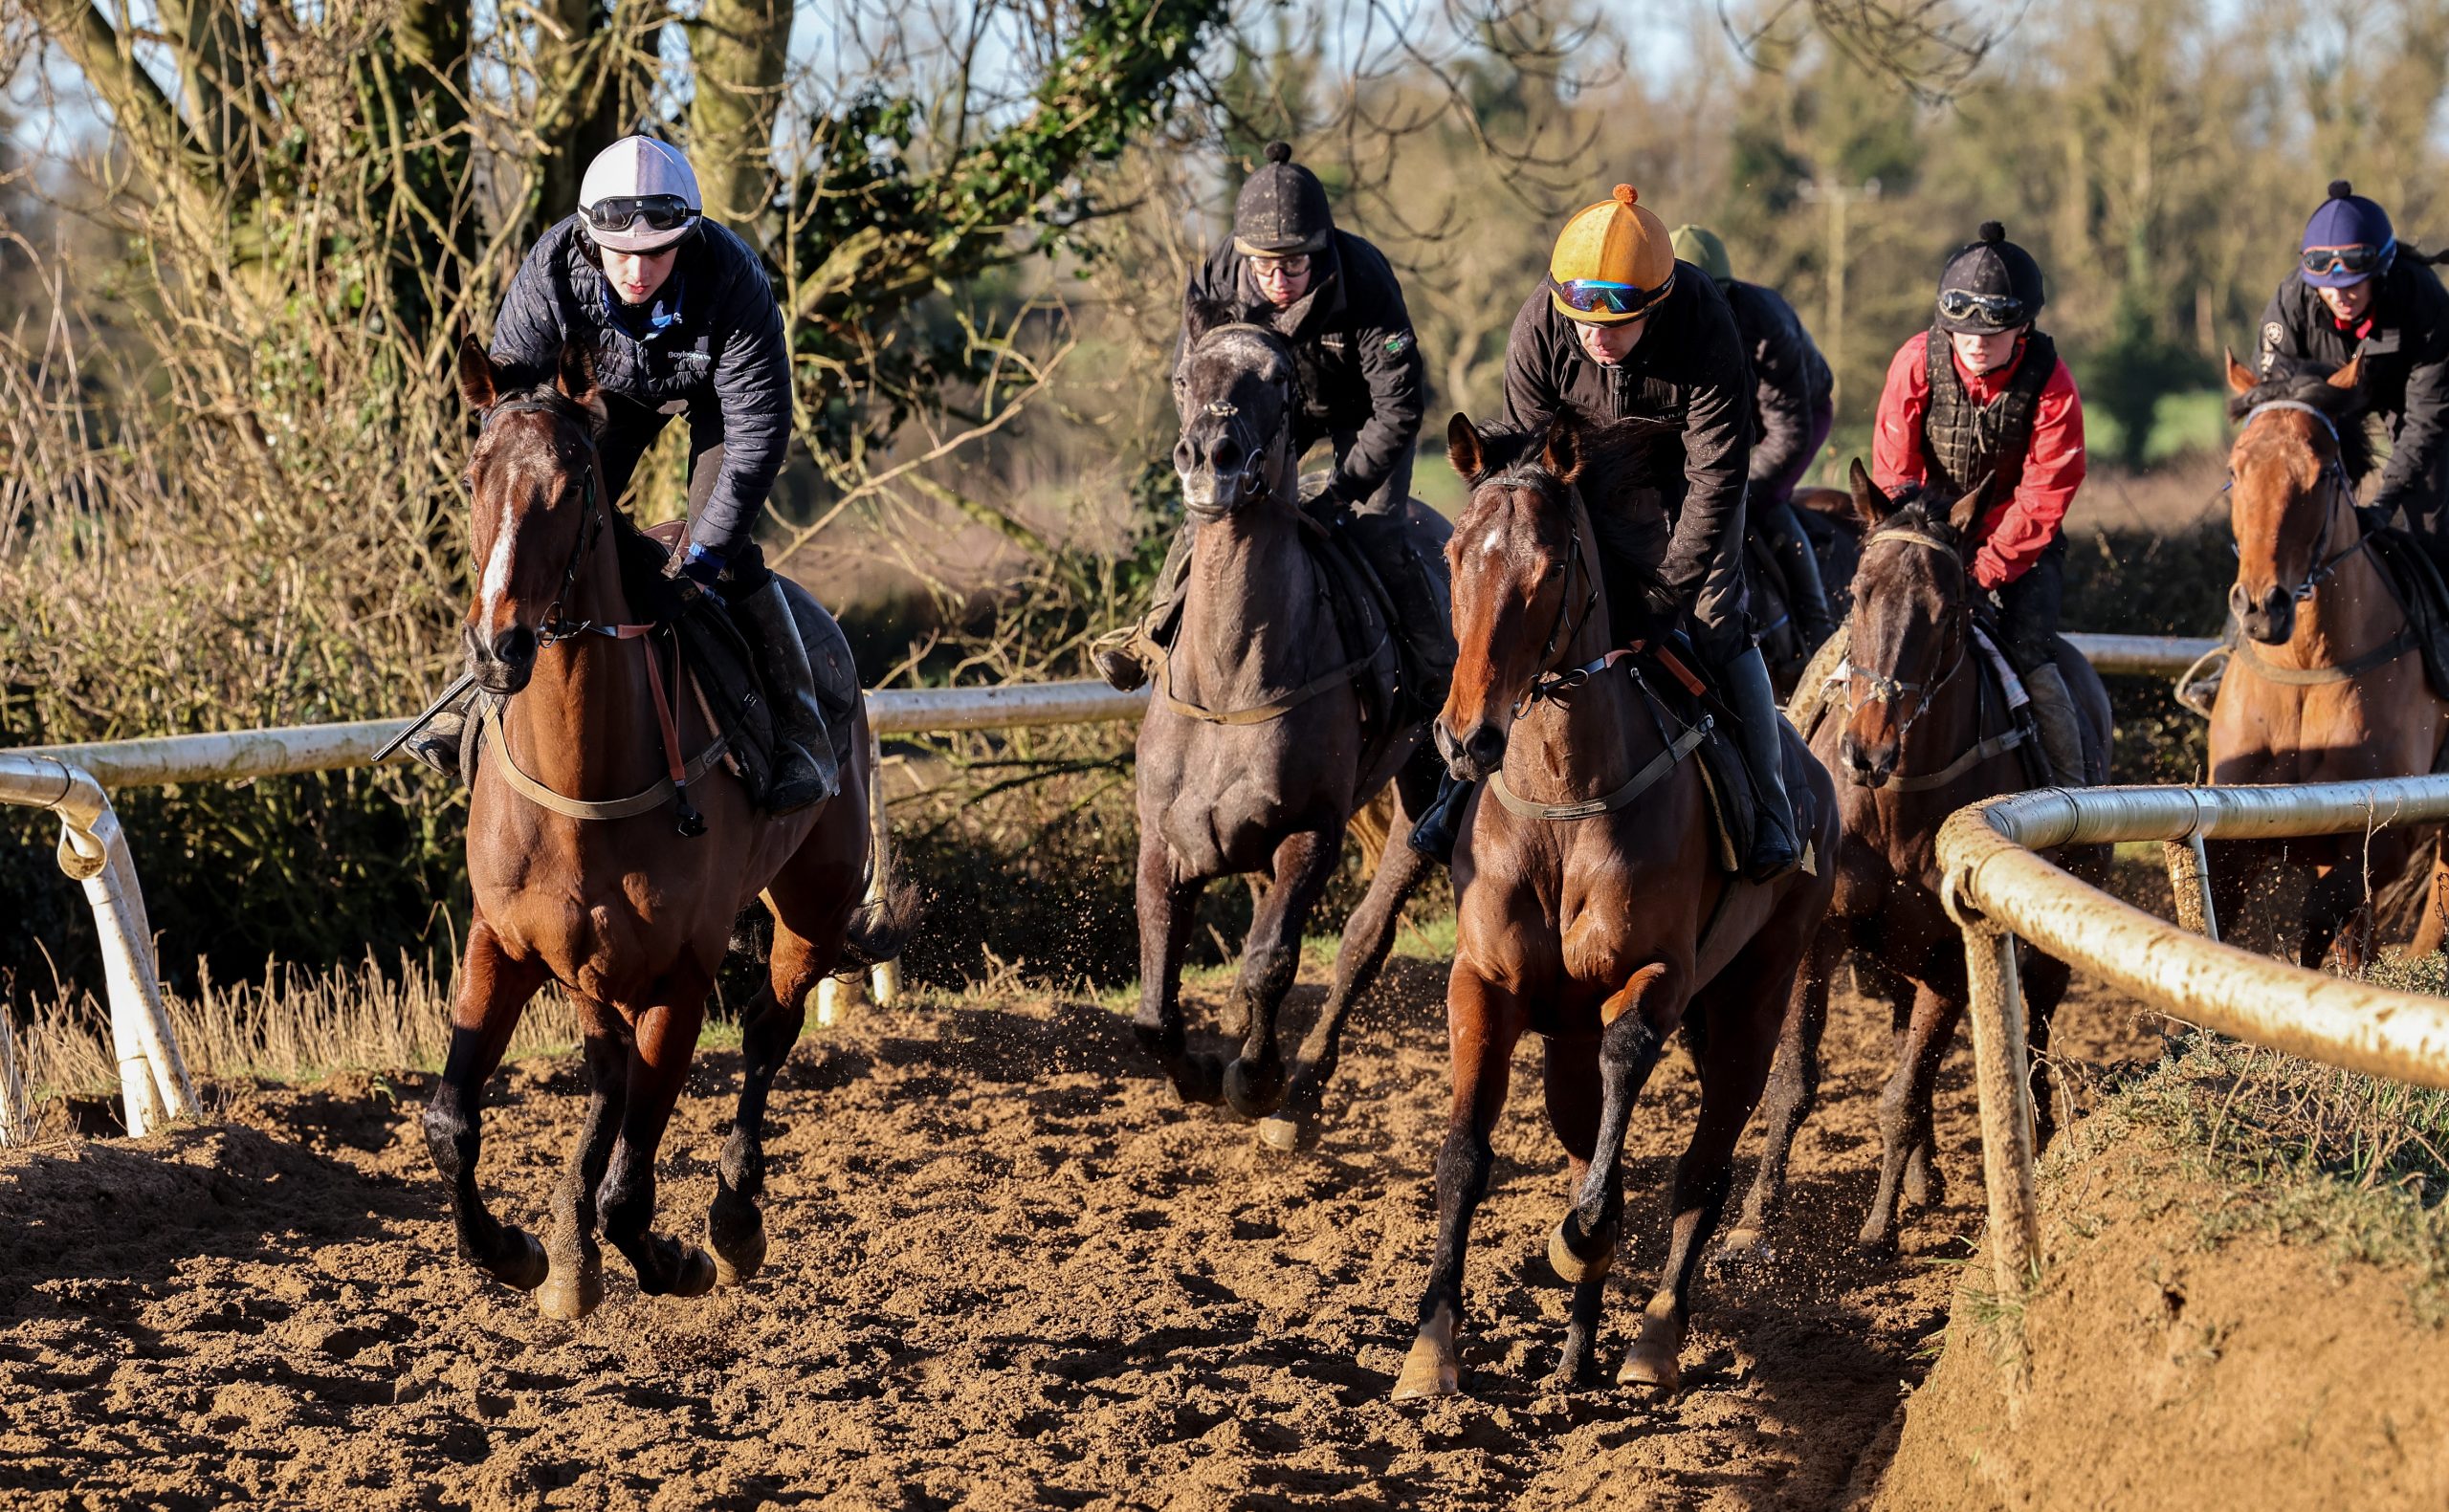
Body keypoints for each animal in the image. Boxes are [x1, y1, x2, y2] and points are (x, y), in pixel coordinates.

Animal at [426, 338, 916, 1311]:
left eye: (573, 483)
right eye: (473, 474)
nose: (498, 647)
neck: (582, 783)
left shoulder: (680, 981)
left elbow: (633, 1189)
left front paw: (677, 1257)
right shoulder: (502, 942)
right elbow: (451, 1122)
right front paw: (517, 1250)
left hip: (812, 904)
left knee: (768, 1029)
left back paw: (731, 1218)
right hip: (587, 965)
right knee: (608, 1072)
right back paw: (570, 1245)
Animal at [1131, 291, 1449, 1140]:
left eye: (1278, 379)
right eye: (1185, 375)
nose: (1210, 458)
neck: (1229, 686)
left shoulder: (1311, 831)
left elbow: (1270, 960)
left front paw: (1256, 1078)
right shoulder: (1165, 838)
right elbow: (1154, 1009)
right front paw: (1200, 1068)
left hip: (1429, 789)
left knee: (1364, 938)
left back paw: (1302, 1089)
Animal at [1401, 405, 1842, 1399]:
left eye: (1548, 568)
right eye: (1453, 554)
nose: (1465, 736)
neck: (1563, 798)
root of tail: (1817, 775)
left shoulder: (1655, 975)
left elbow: (1628, 1070)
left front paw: (1585, 1236)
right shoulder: (1486, 979)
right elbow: (1463, 1154)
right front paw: (1430, 1347)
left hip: (1755, 994)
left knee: (1704, 1165)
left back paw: (1653, 1337)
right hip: (1568, 1027)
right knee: (1581, 1126)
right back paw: (1575, 1350)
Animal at [1733, 465, 2115, 1252]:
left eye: (1948, 609)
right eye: (1857, 591)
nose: (1869, 748)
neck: (1894, 806)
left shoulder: (1948, 952)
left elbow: (1903, 1095)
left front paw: (1879, 1230)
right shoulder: (1826, 936)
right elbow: (1794, 1082)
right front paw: (1754, 1222)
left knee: (2033, 1032)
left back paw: (2037, 1137)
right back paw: (1923, 1172)